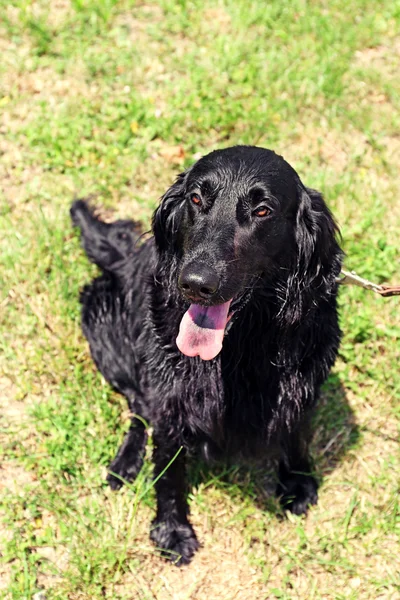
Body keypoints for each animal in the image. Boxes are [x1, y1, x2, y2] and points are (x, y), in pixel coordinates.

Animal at [70, 146, 342, 568]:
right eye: (196, 199)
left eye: (263, 210)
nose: (196, 284)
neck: (241, 343)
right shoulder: (170, 397)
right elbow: (168, 469)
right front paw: (172, 530)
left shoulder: (305, 373)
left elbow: (296, 426)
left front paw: (297, 481)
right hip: (102, 326)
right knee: (137, 406)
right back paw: (126, 462)